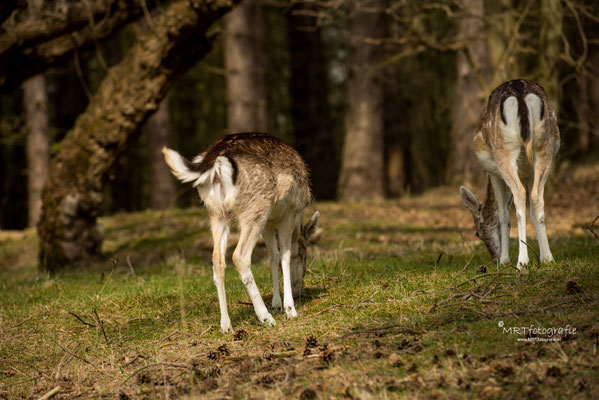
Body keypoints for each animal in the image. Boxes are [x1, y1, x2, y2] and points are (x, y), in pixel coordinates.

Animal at [159, 131, 318, 332]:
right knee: (240, 256)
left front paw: (277, 304)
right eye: (305, 255)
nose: (300, 291)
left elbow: (273, 256)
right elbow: (285, 255)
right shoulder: (288, 211)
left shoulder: (269, 222)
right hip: (256, 208)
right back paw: (265, 317)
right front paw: (289, 309)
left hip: (217, 213)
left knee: (217, 259)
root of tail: (217, 162)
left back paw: (226, 325)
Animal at [460, 79, 564, 270]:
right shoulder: (528, 174)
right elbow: (532, 211)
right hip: (544, 147)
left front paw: (504, 260)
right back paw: (548, 258)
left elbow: (503, 214)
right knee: (537, 197)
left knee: (519, 194)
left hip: (504, 152)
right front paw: (542, 256)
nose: (493, 257)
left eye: (478, 233)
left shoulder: (494, 173)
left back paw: (521, 261)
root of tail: (520, 94)